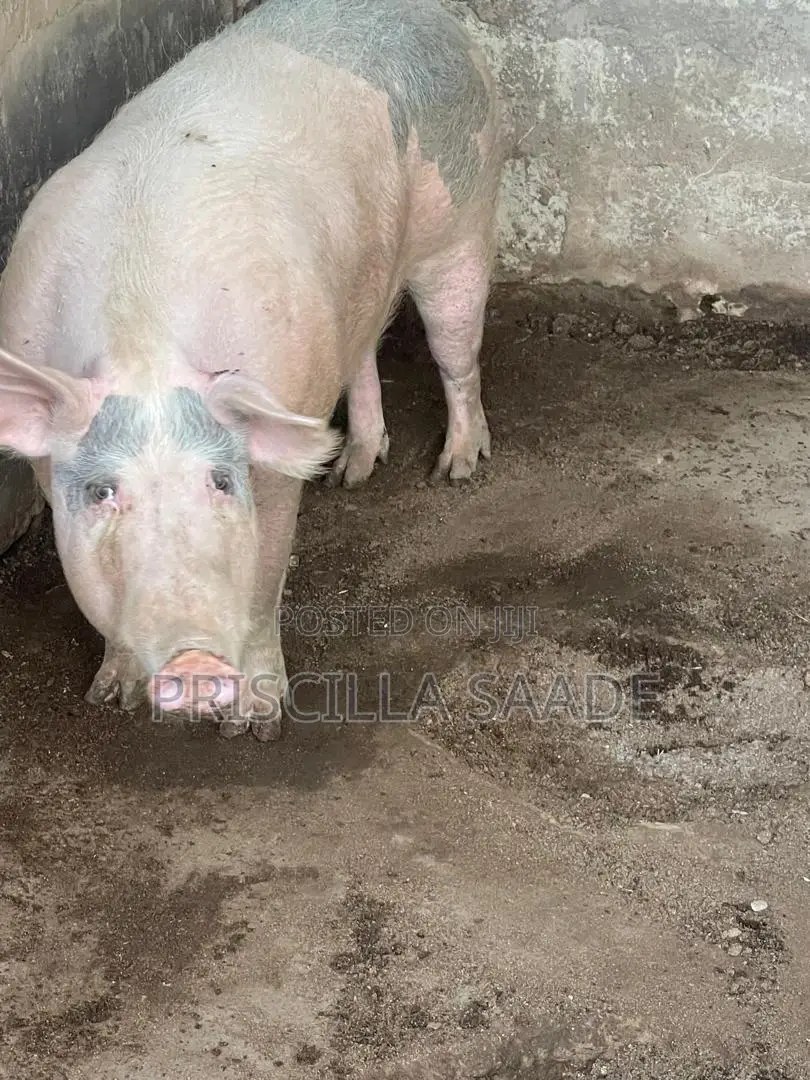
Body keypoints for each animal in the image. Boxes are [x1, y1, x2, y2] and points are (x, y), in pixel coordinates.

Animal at [0, 0, 506, 740]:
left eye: (221, 481)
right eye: (100, 492)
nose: (192, 661)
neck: (141, 340)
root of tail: (442, 21)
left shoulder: (274, 454)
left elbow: (266, 577)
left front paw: (258, 725)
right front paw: (111, 697)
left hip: (464, 215)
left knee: (456, 352)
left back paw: (457, 467)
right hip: (350, 294)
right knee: (361, 350)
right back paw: (352, 471)